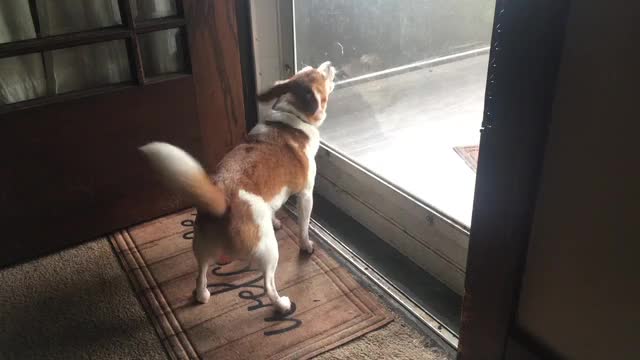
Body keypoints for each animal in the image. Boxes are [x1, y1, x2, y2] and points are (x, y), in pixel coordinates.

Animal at [140, 61, 338, 312]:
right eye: (322, 74)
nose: (329, 64)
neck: (291, 116)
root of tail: (221, 201)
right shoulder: (305, 195)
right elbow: (304, 226)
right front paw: (306, 245)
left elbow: (274, 209)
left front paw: (275, 220)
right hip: (269, 251)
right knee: (268, 284)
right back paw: (282, 304)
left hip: (201, 248)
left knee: (200, 274)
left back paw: (202, 295)